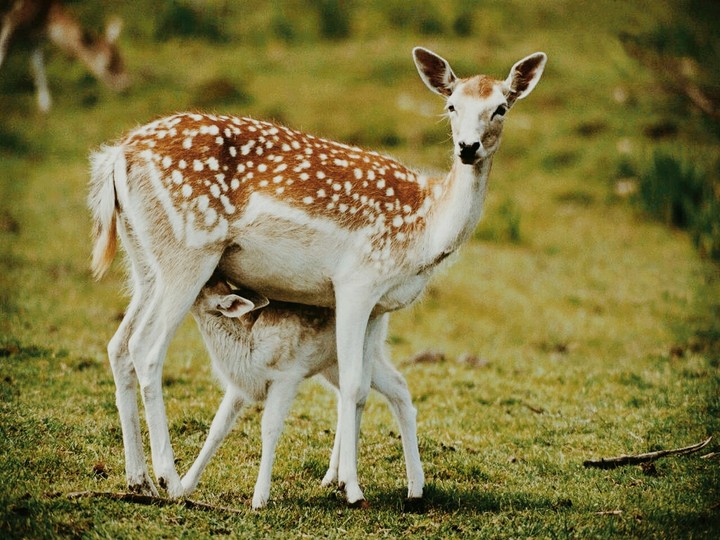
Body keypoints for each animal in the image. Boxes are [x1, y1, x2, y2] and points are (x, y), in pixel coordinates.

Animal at [0, 0, 129, 112]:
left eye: (121, 57)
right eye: (109, 61)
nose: (126, 82)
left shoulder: (33, 33)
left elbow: (38, 62)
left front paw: (45, 107)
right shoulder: (15, 18)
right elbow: (3, 51)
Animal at [183, 274, 423, 509]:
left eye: (205, 282)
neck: (248, 351)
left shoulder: (286, 377)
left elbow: (270, 428)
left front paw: (259, 499)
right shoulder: (240, 386)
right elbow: (217, 427)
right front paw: (185, 485)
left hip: (369, 350)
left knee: (393, 386)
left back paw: (413, 488)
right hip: (332, 364)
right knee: (359, 394)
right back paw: (333, 478)